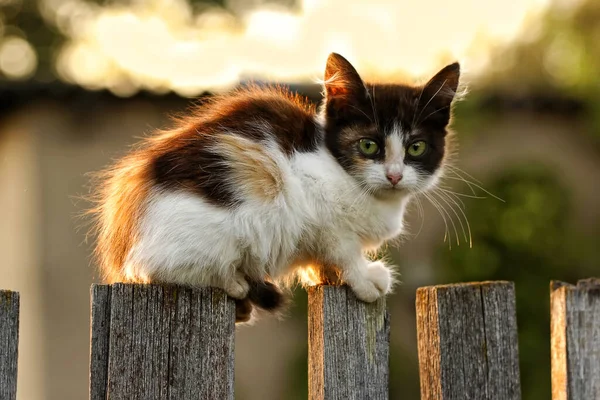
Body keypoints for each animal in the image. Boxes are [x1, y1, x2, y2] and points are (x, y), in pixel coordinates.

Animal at [89, 52, 462, 322]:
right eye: (368, 145)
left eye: (417, 147)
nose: (394, 175)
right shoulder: (317, 204)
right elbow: (343, 247)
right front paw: (363, 277)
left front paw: (326, 276)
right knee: (161, 268)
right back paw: (234, 281)